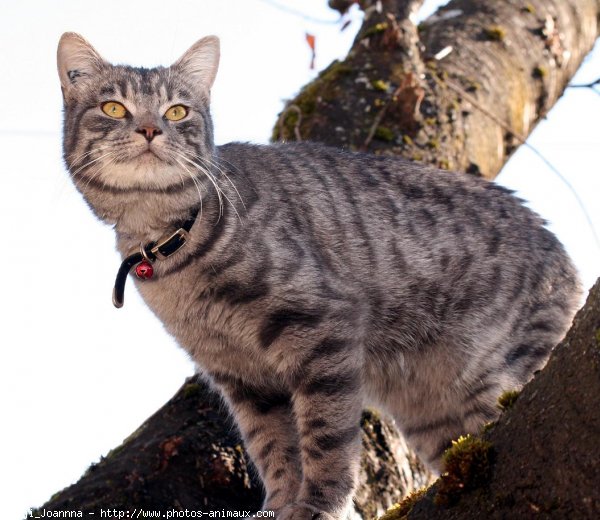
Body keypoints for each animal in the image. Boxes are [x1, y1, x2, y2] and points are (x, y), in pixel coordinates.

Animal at [56, 33, 580, 520]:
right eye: (113, 107)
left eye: (177, 111)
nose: (150, 129)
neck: (173, 245)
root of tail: (564, 254)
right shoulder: (241, 376)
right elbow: (274, 449)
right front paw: (282, 503)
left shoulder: (321, 329)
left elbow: (325, 439)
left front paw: (320, 504)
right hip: (433, 415)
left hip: (493, 374)